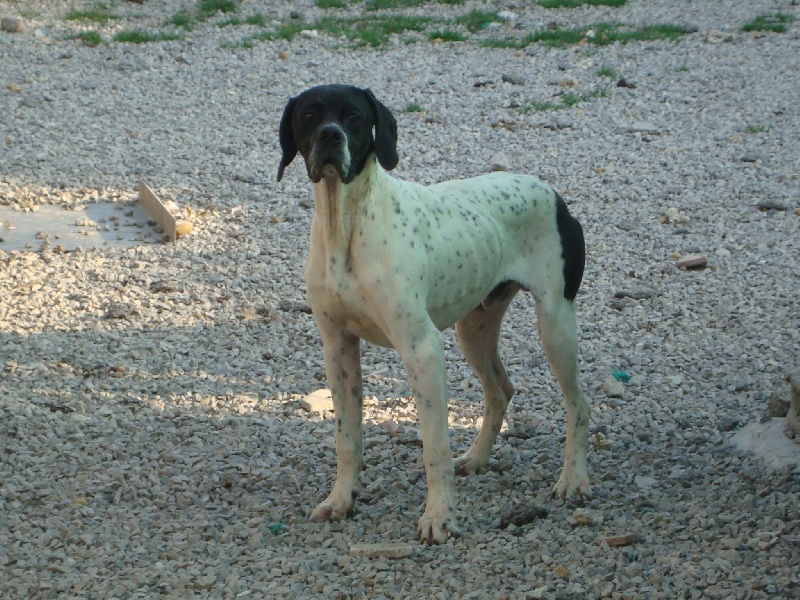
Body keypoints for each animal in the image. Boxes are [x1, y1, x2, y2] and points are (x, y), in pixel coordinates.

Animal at [278, 83, 592, 544]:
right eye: (309, 115)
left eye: (353, 116)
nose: (330, 137)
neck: (349, 225)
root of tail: (552, 193)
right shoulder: (338, 349)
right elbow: (347, 439)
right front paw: (340, 501)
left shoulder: (421, 349)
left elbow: (435, 447)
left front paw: (440, 517)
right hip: (473, 329)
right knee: (500, 391)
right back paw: (477, 458)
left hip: (554, 324)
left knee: (577, 405)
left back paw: (573, 479)